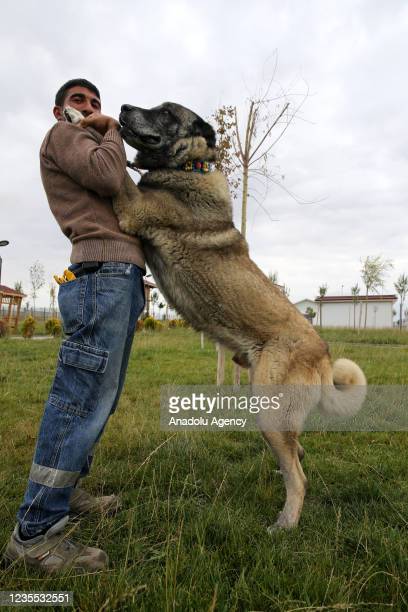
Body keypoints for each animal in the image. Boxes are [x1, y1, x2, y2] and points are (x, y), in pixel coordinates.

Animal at [112, 101, 366, 532]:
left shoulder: (132, 206)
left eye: (166, 112)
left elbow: (118, 173)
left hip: (268, 408)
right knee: (297, 454)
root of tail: (324, 354)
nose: (124, 107)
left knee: (298, 476)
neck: (191, 167)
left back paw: (284, 524)